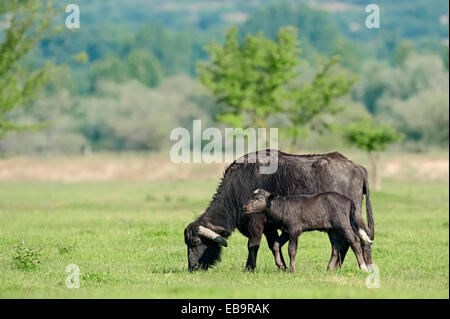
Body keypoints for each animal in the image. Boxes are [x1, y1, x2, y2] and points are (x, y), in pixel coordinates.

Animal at [183, 150, 372, 272]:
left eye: (195, 243)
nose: (192, 267)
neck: (237, 187)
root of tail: (357, 168)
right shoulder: (271, 226)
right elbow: (274, 244)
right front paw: (282, 266)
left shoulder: (256, 222)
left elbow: (253, 244)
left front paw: (249, 268)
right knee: (345, 242)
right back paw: (336, 266)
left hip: (353, 217)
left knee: (363, 238)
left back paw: (366, 265)